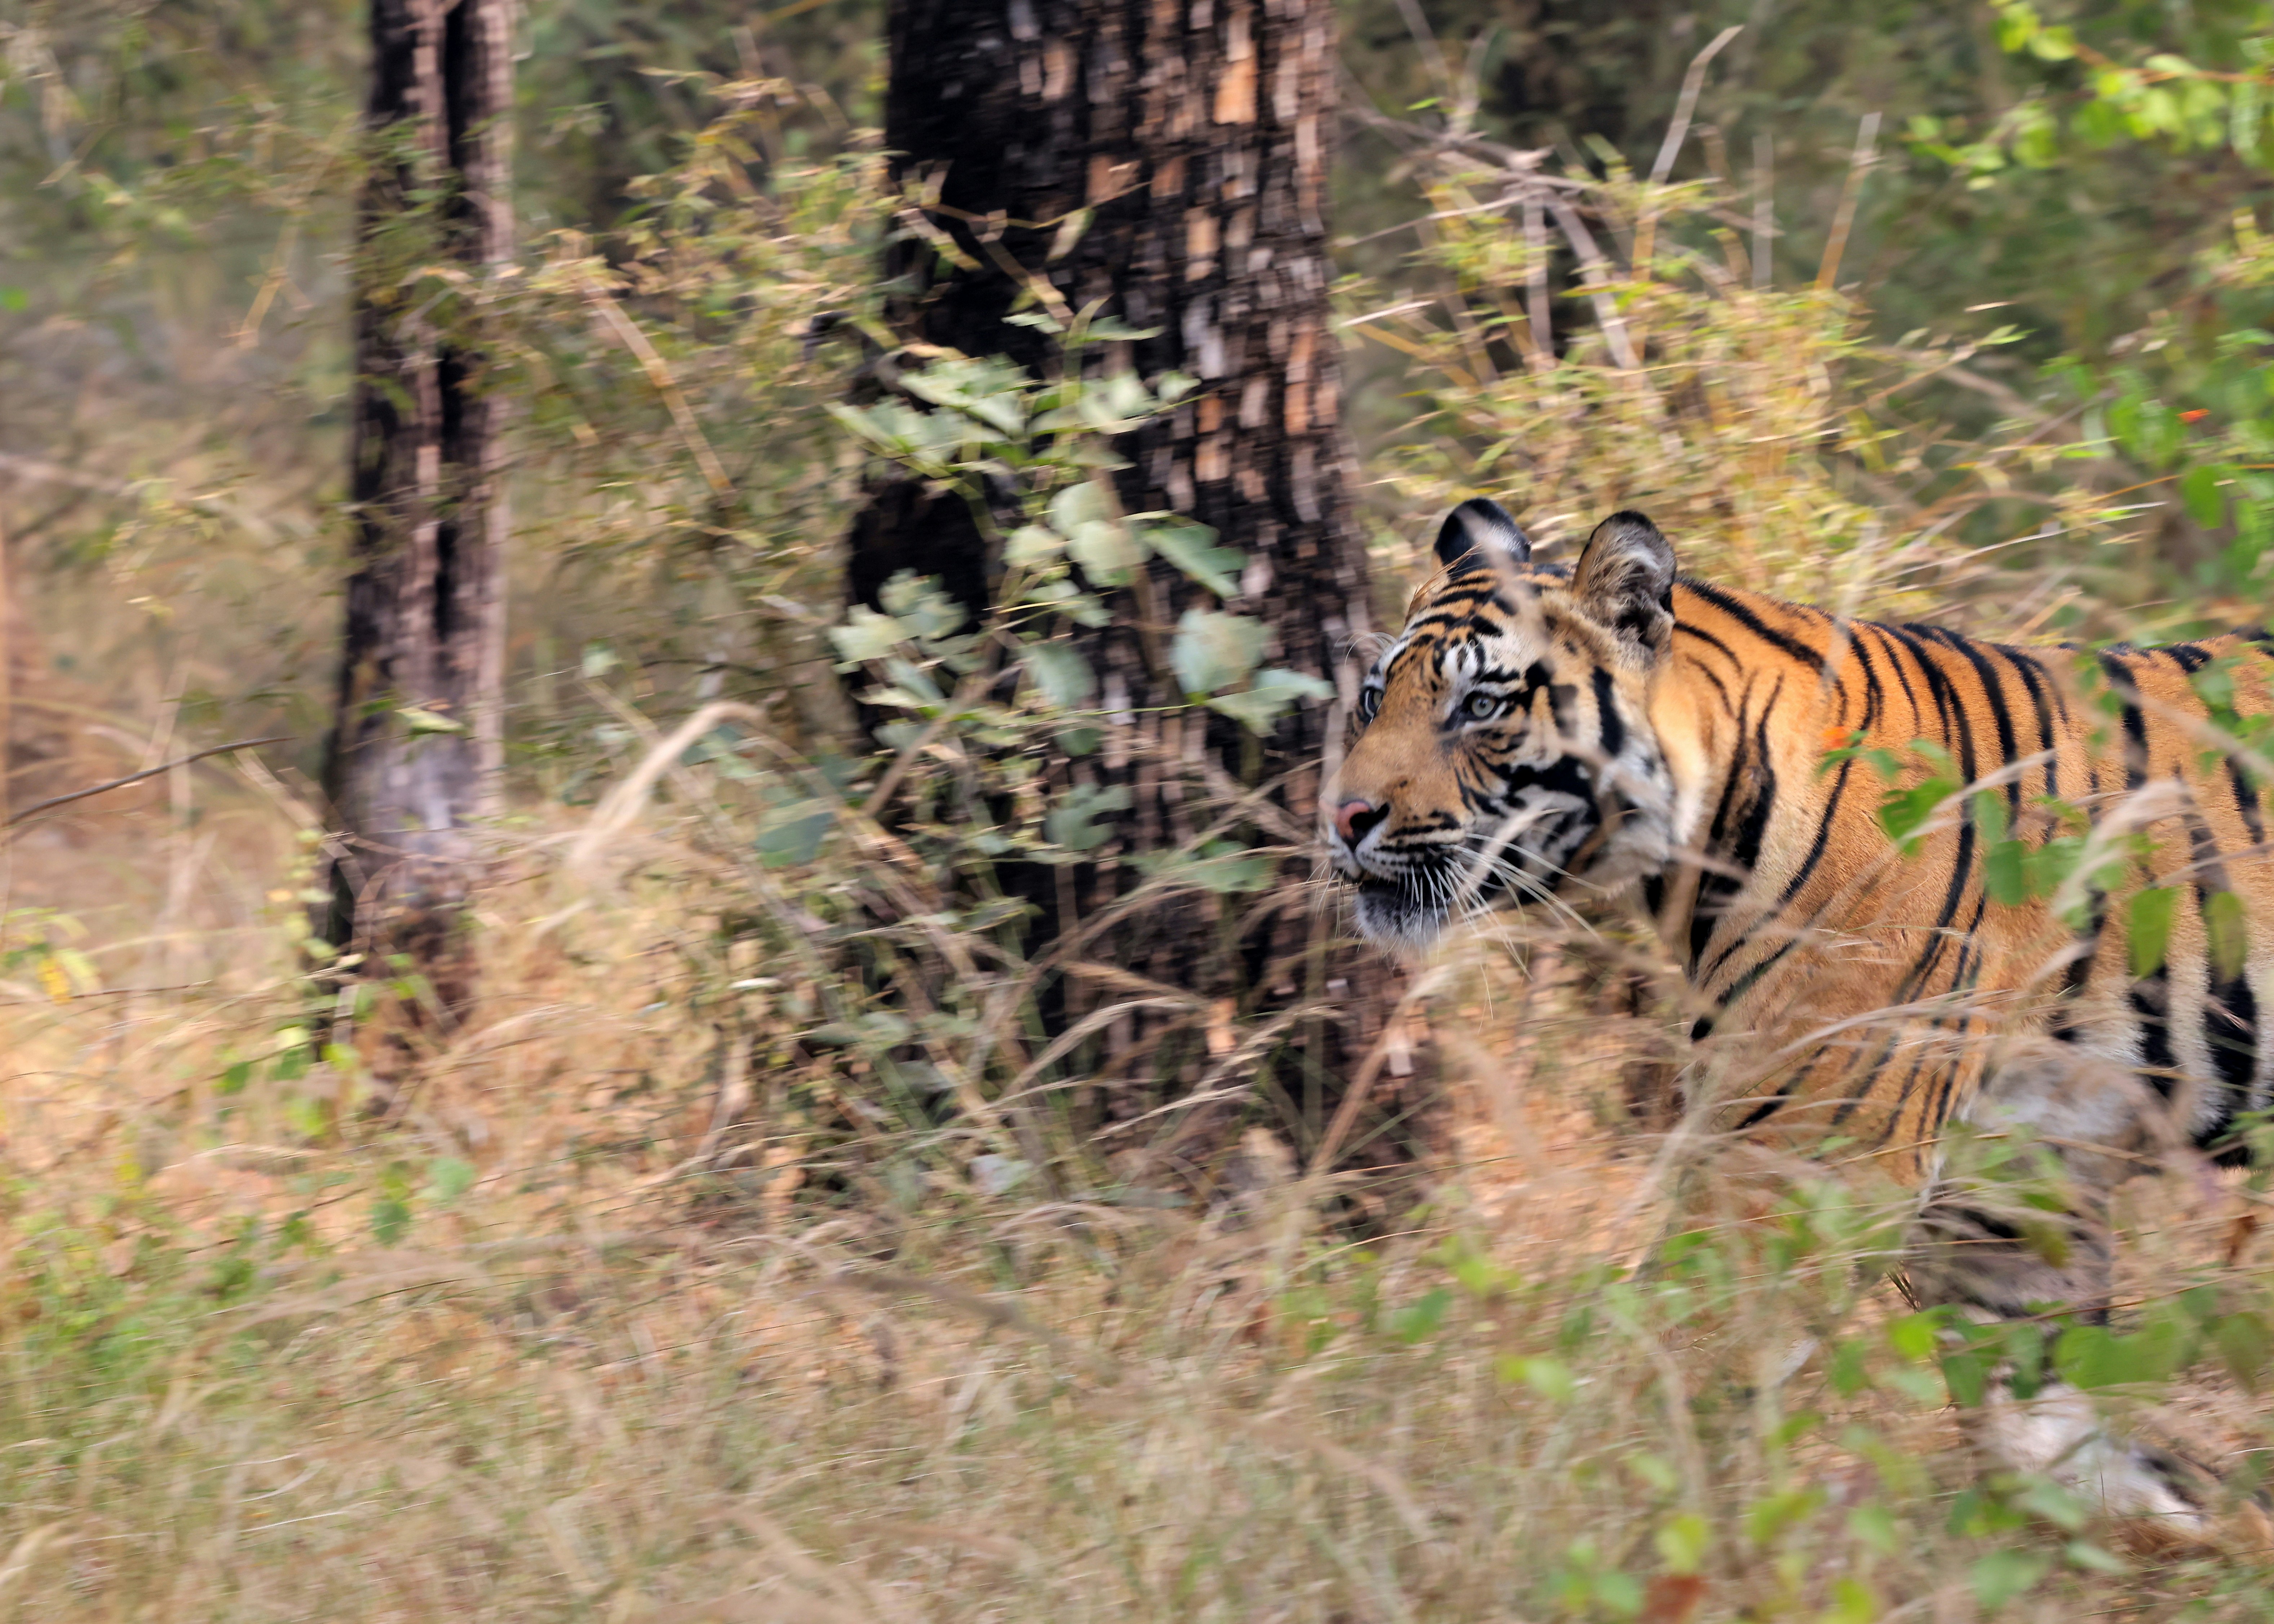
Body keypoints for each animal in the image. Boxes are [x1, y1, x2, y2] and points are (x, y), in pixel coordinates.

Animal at [1327, 497, 2274, 1537]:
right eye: (1374, 699)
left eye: (1482, 707)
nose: (1342, 816)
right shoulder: (2009, 1191)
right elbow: (2047, 1428)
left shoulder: (1799, 1163)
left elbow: (1674, 1369)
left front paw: (1580, 1519)